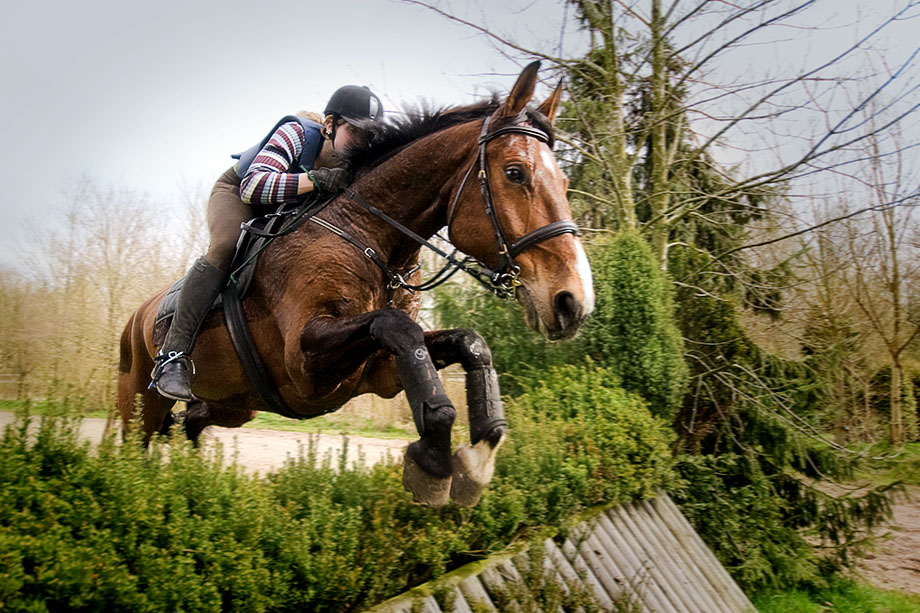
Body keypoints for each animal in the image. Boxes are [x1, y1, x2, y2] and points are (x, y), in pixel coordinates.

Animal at [118, 63, 592, 506]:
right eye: (515, 173)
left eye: (566, 181)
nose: (573, 302)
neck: (370, 237)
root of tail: (137, 317)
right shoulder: (304, 365)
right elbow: (398, 328)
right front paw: (434, 465)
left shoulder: (378, 372)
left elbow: (467, 343)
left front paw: (477, 459)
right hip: (139, 403)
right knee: (136, 445)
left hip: (235, 405)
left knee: (192, 421)